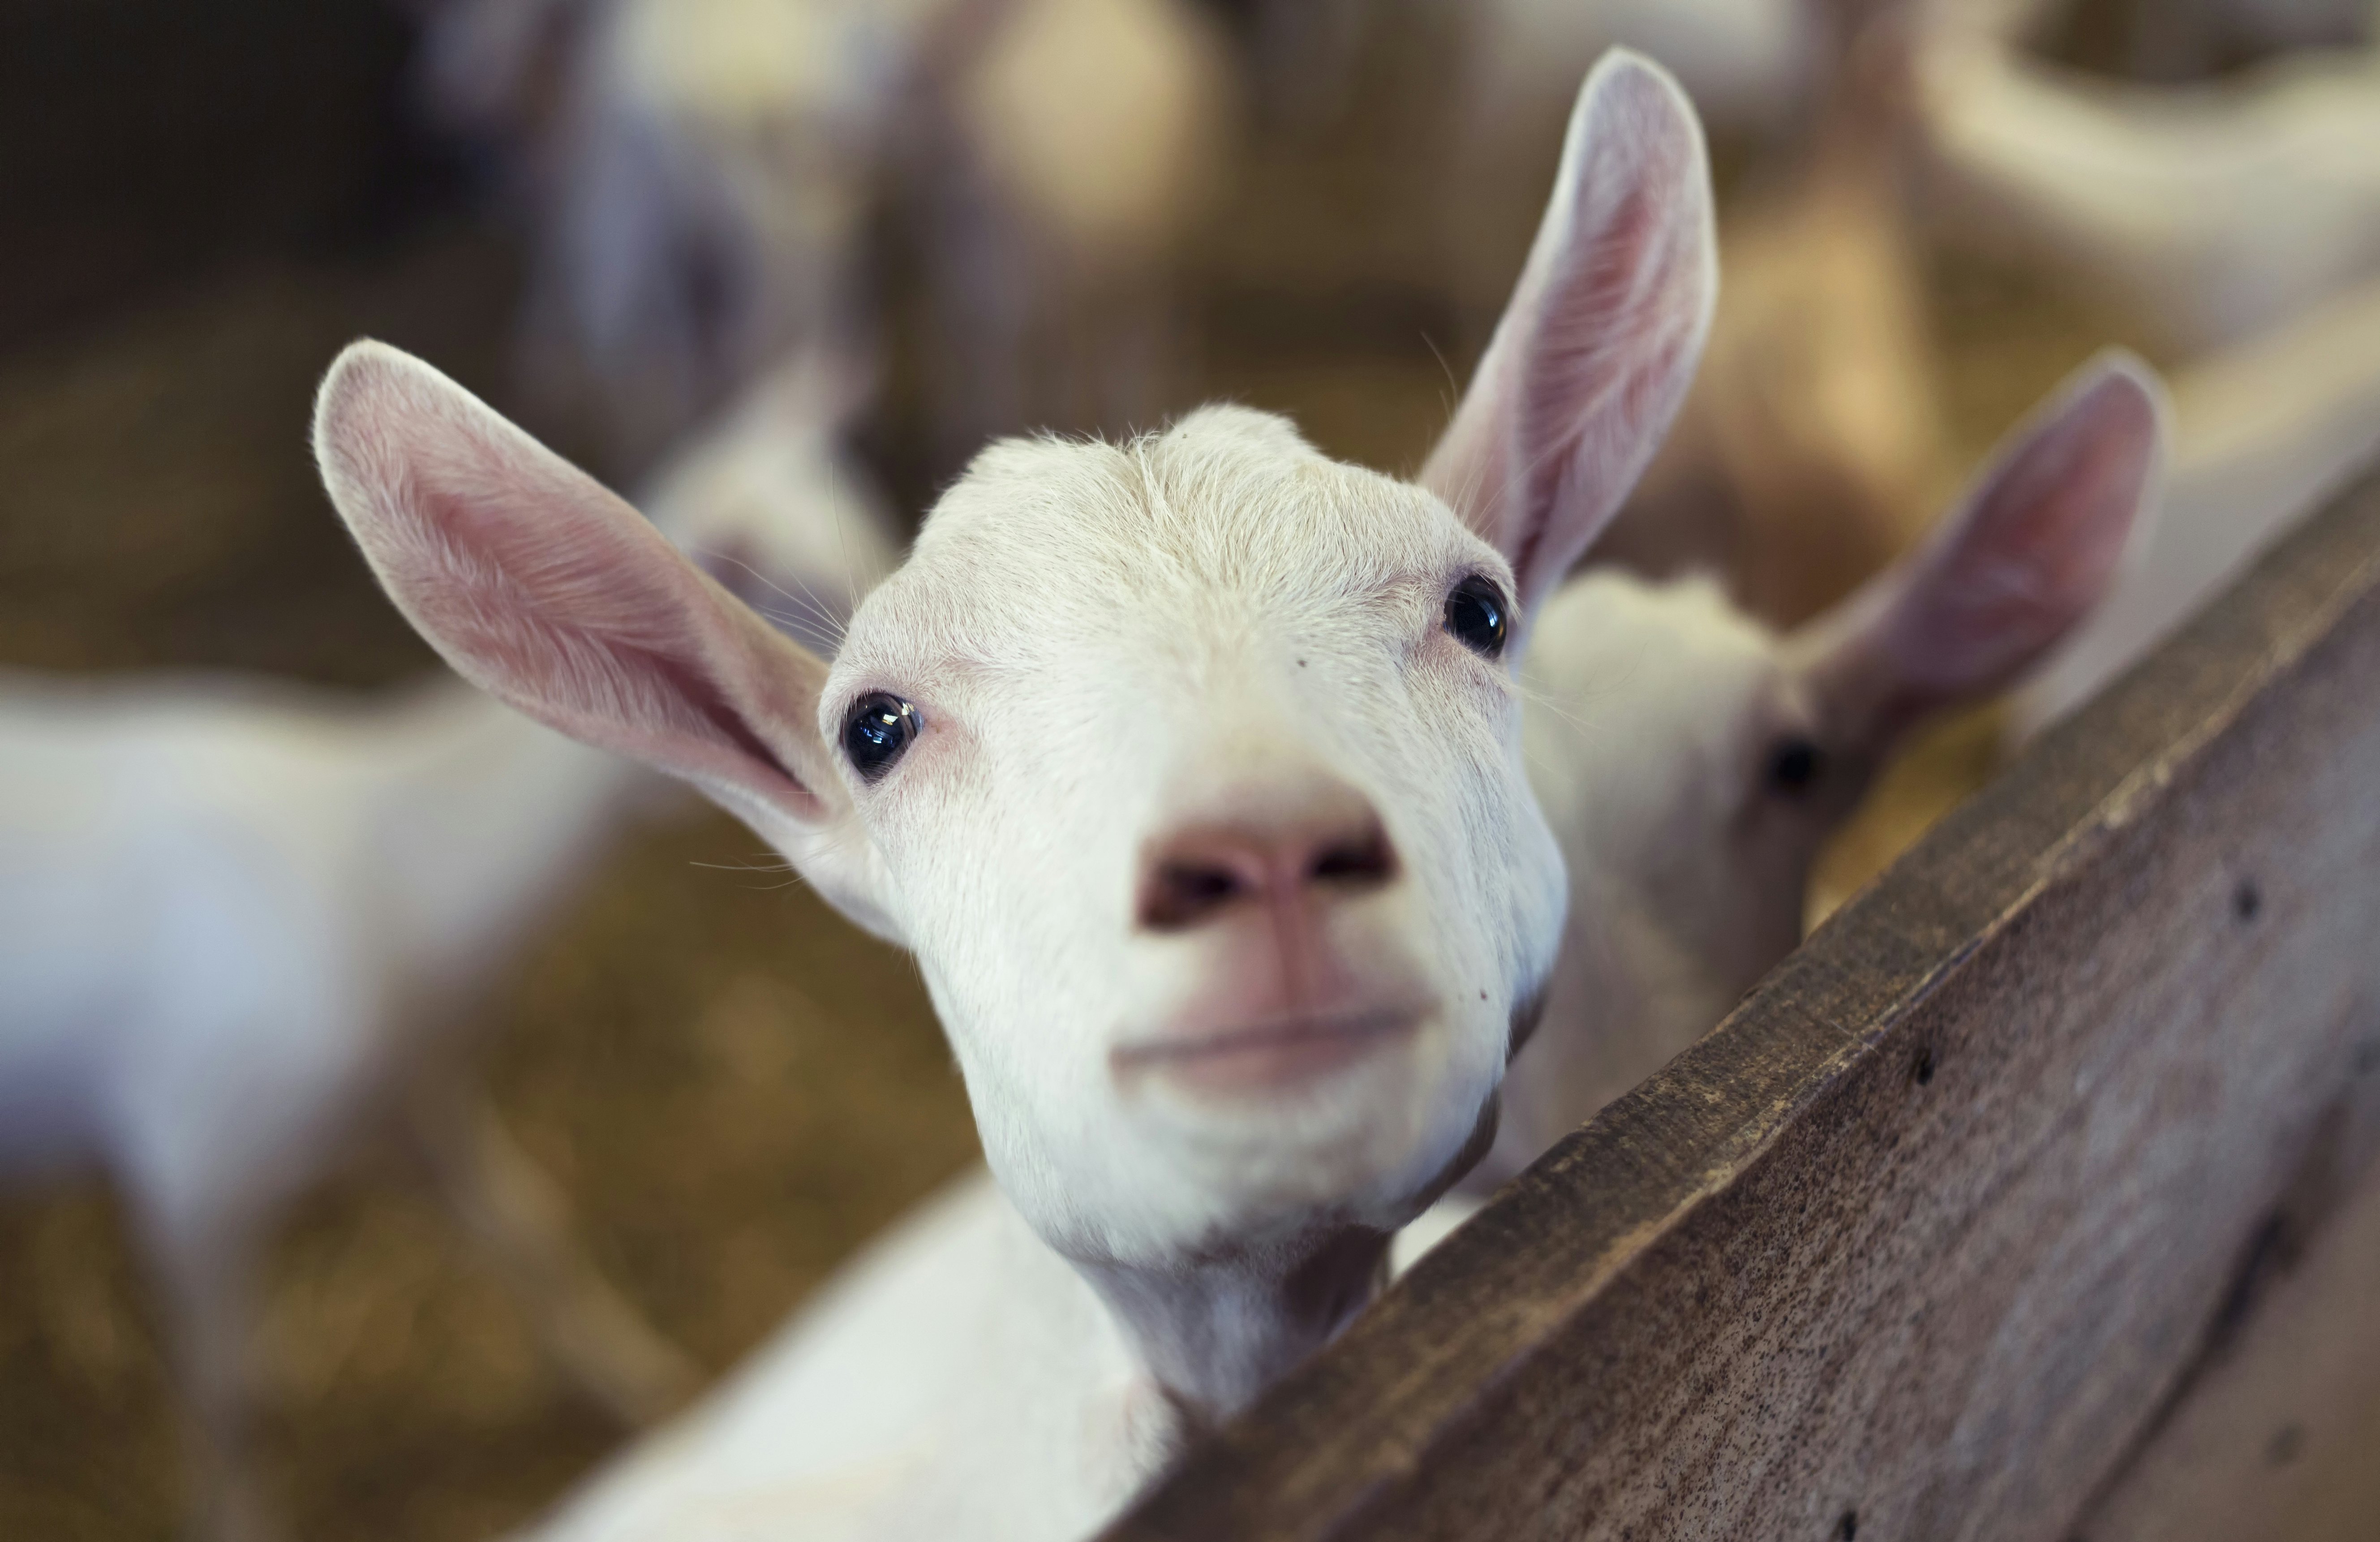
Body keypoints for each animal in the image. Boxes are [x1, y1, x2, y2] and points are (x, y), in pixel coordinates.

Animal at [0, 356, 894, 1542]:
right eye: (800, 580)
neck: (393, 850)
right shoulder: (192, 1166)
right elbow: (236, 1396)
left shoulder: (416, 1096)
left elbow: (529, 1229)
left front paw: (640, 1378)